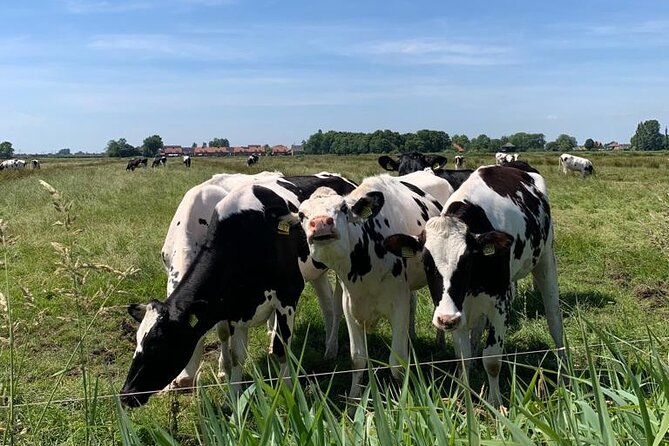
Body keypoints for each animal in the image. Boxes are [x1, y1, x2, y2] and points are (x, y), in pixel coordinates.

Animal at [122, 172, 358, 408]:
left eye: (160, 345)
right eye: (137, 342)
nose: (126, 394)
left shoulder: (288, 293)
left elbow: (282, 349)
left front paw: (288, 393)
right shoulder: (233, 305)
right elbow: (236, 354)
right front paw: (234, 399)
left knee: (336, 307)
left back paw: (330, 349)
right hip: (316, 272)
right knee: (327, 305)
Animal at [294, 170, 454, 398]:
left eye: (343, 208)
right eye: (301, 214)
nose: (321, 223)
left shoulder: (398, 303)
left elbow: (396, 362)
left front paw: (404, 395)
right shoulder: (350, 304)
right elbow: (357, 359)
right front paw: (354, 399)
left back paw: (439, 340)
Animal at [384, 165, 568, 408]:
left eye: (467, 261)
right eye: (426, 263)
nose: (445, 319)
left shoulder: (500, 303)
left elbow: (492, 359)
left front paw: (495, 403)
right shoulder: (458, 309)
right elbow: (462, 356)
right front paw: (464, 398)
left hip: (546, 258)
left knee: (554, 318)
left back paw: (564, 370)